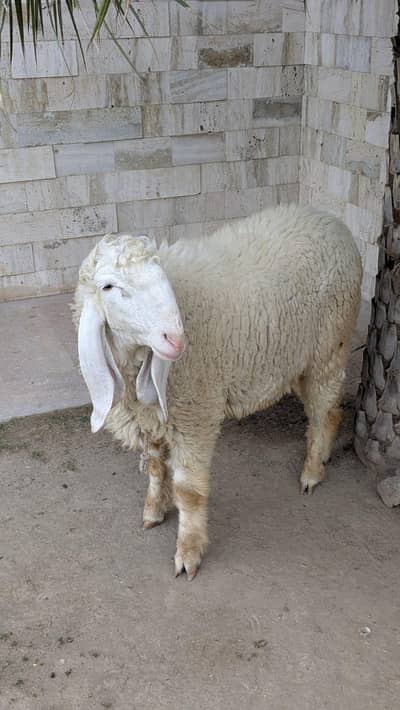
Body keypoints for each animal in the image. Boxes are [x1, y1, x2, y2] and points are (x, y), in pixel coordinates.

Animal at [74, 204, 362, 580]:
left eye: (160, 274)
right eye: (108, 286)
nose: (175, 339)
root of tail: (329, 219)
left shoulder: (195, 414)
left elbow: (188, 491)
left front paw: (188, 552)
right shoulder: (153, 418)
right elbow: (155, 467)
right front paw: (154, 510)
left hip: (330, 344)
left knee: (322, 409)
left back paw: (312, 472)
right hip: (298, 359)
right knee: (330, 410)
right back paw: (324, 454)